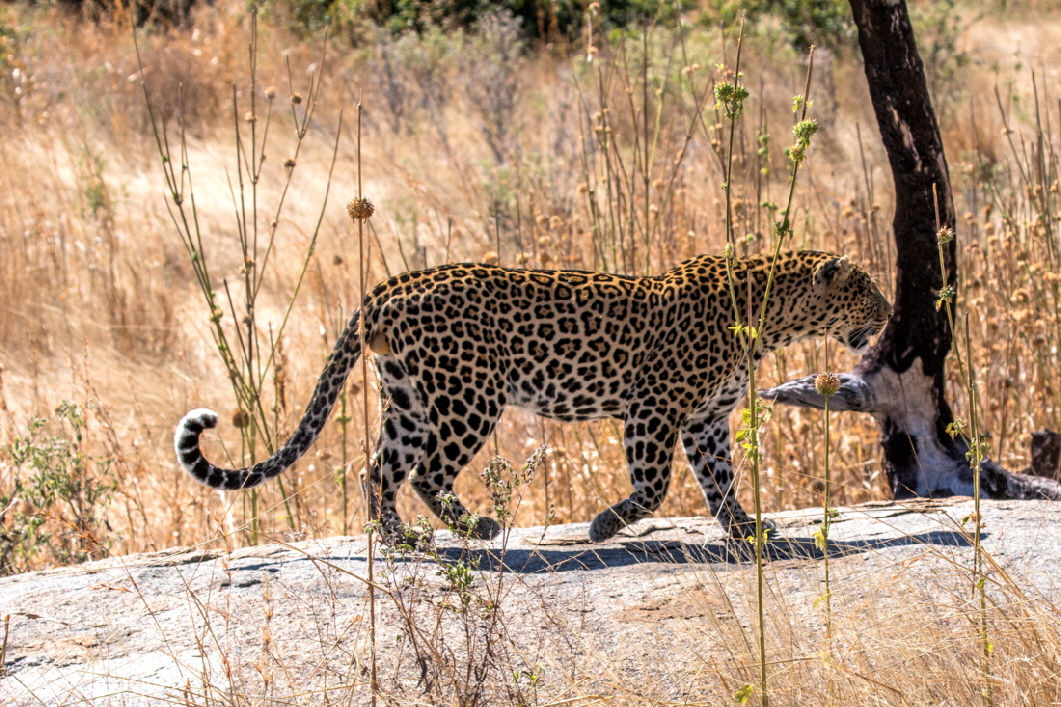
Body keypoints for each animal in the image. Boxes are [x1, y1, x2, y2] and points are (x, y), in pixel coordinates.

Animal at [175, 250, 891, 543]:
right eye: (866, 291)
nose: (887, 315)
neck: (772, 318)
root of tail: (388, 285)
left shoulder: (708, 419)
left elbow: (720, 481)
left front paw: (745, 529)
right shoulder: (655, 407)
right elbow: (656, 486)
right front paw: (603, 526)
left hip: (408, 396)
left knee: (375, 470)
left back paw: (401, 539)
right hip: (468, 394)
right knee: (425, 472)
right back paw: (476, 528)